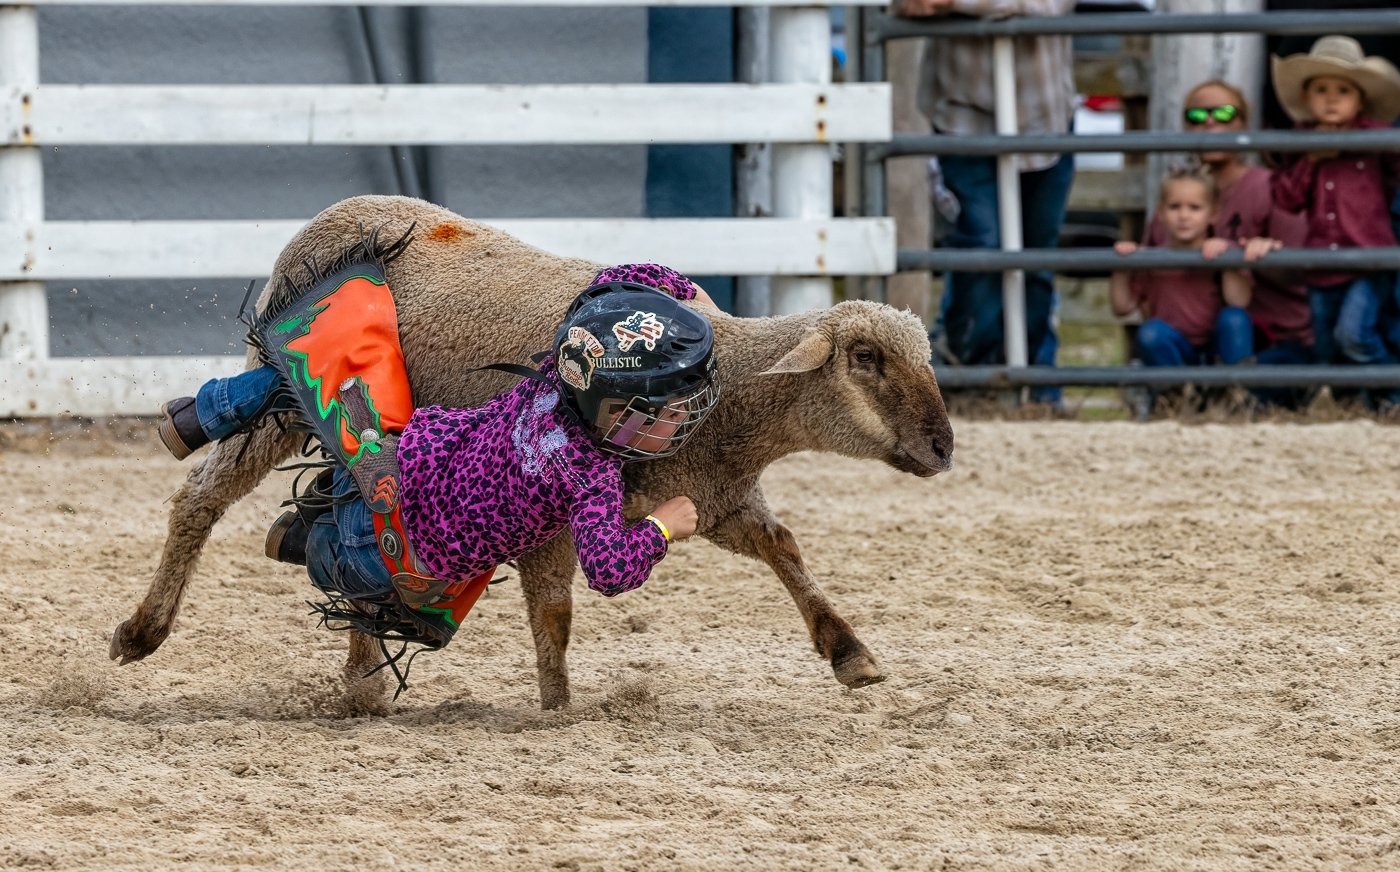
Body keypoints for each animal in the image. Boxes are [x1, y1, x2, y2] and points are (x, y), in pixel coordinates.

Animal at [109, 195, 957, 711]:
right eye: (866, 361)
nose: (945, 446)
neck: (726, 396)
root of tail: (336, 213)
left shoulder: (722, 498)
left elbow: (787, 552)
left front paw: (850, 652)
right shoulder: (559, 514)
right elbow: (555, 613)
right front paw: (558, 709)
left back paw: (362, 679)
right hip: (287, 397)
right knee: (202, 498)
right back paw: (144, 626)